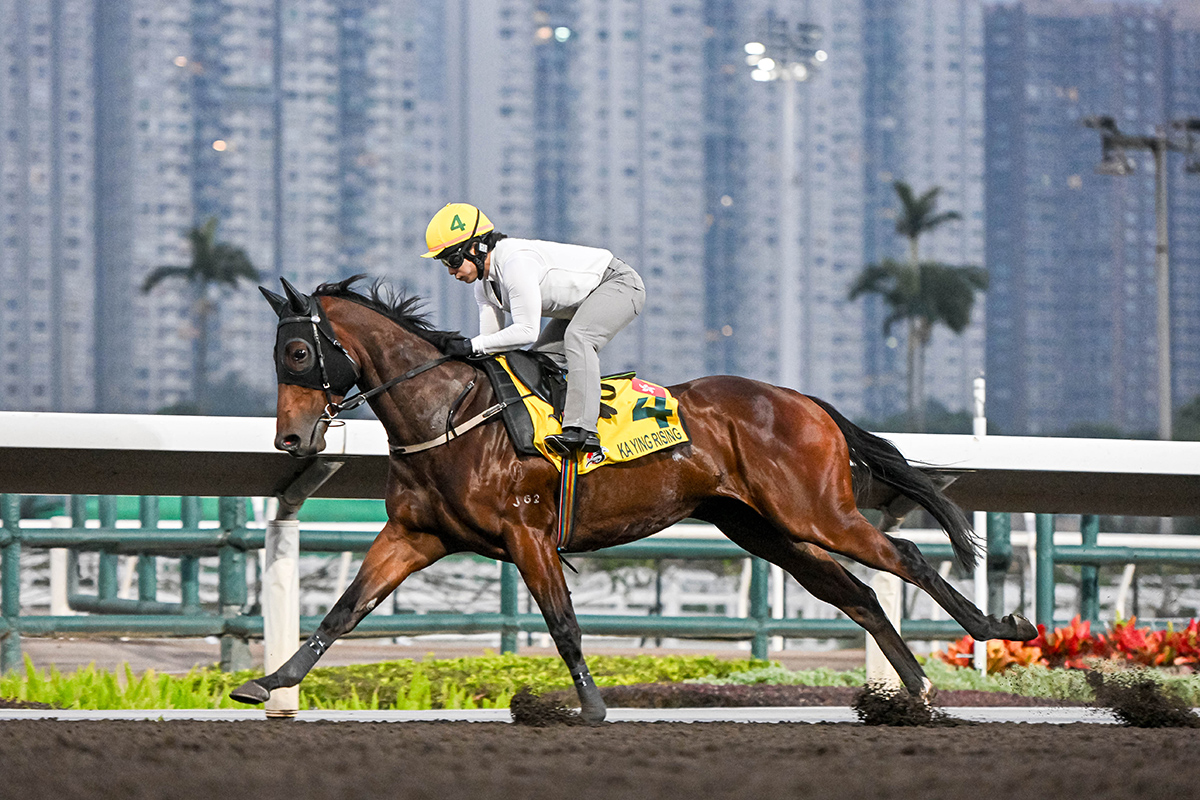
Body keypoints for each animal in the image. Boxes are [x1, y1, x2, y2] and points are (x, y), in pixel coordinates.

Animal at [229, 277, 1036, 719]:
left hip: (815, 512)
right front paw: (270, 683)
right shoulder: (415, 534)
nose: (290, 441)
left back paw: (1000, 627)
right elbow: (344, 609)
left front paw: (589, 706)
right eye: (275, 354)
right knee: (859, 593)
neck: (449, 415)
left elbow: (563, 624)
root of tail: (804, 400)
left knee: (901, 557)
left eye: (298, 352)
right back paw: (912, 692)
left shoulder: (526, 535)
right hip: (766, 529)